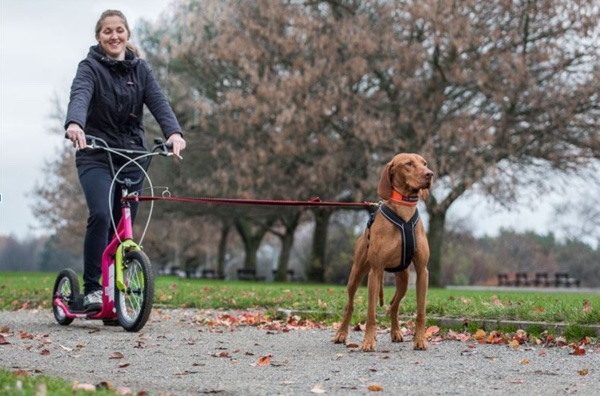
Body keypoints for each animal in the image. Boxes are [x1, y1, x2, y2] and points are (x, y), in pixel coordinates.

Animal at [336, 153, 434, 352]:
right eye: (408, 164)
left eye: (424, 163)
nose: (430, 174)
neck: (404, 210)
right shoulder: (375, 271)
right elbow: (371, 313)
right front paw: (368, 341)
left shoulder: (422, 271)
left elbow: (420, 312)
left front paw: (420, 340)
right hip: (357, 274)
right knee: (349, 305)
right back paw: (341, 334)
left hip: (403, 279)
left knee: (394, 305)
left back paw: (396, 332)